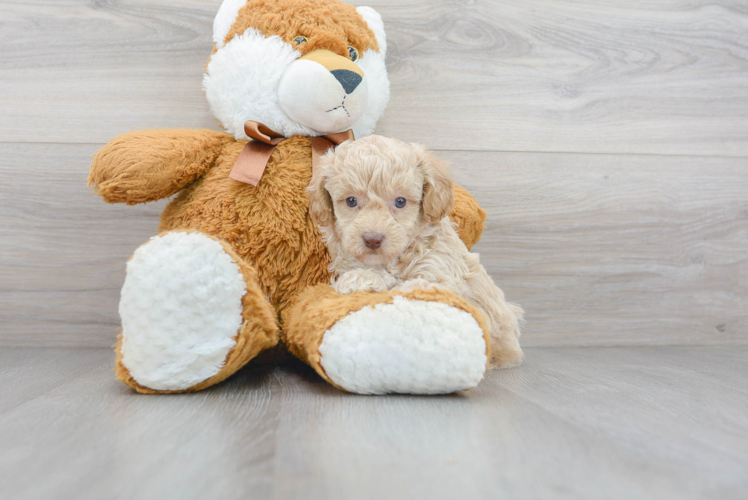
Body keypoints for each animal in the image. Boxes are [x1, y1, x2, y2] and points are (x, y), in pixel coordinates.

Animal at [306, 135, 524, 370]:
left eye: (400, 201)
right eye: (351, 201)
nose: (372, 239)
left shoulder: (441, 273)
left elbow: (415, 286)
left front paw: (368, 279)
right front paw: (359, 278)